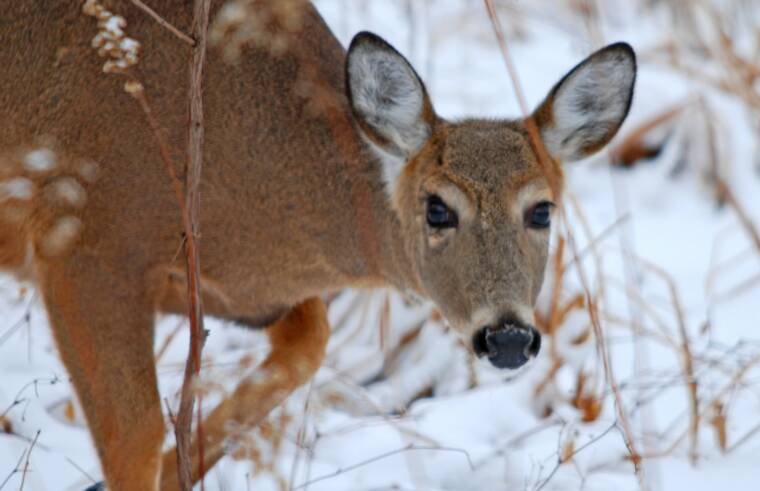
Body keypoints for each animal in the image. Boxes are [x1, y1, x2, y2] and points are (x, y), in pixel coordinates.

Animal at [0, 0, 636, 491]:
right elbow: (134, 438)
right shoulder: (88, 243)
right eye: (437, 207)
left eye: (541, 210)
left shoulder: (235, 291)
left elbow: (310, 342)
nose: (507, 337)